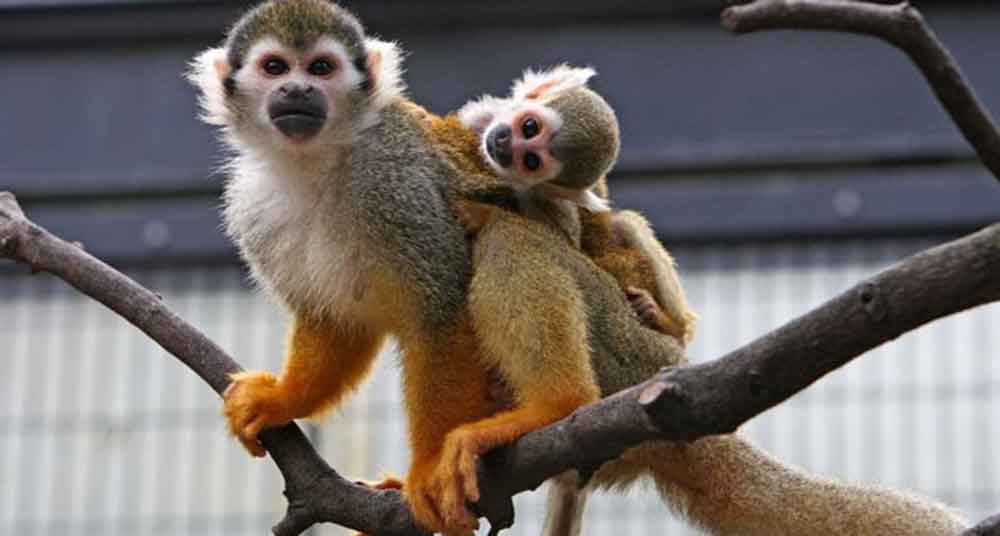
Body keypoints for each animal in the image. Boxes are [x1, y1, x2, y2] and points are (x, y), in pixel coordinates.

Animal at [189, 2, 968, 532]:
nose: (296, 94)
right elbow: (337, 320)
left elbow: (442, 311)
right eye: (274, 68)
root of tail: (673, 376)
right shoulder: (255, 208)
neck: (319, 160)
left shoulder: (397, 182)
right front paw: (283, 400)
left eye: (320, 68)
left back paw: (553, 404)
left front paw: (426, 470)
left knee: (511, 243)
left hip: (626, 353)